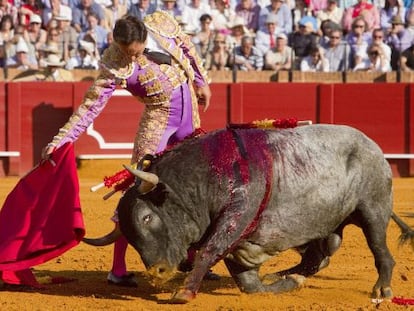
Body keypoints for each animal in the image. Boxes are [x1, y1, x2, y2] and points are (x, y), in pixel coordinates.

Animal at [83, 125, 414, 304]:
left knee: (381, 251)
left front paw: (184, 292)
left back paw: (383, 289)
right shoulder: (241, 243)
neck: (202, 178)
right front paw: (287, 284)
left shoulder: (236, 217)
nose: (157, 272)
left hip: (372, 210)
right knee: (318, 257)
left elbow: (209, 250)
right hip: (327, 224)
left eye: (147, 218)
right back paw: (287, 273)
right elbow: (250, 285)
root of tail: (372, 146)